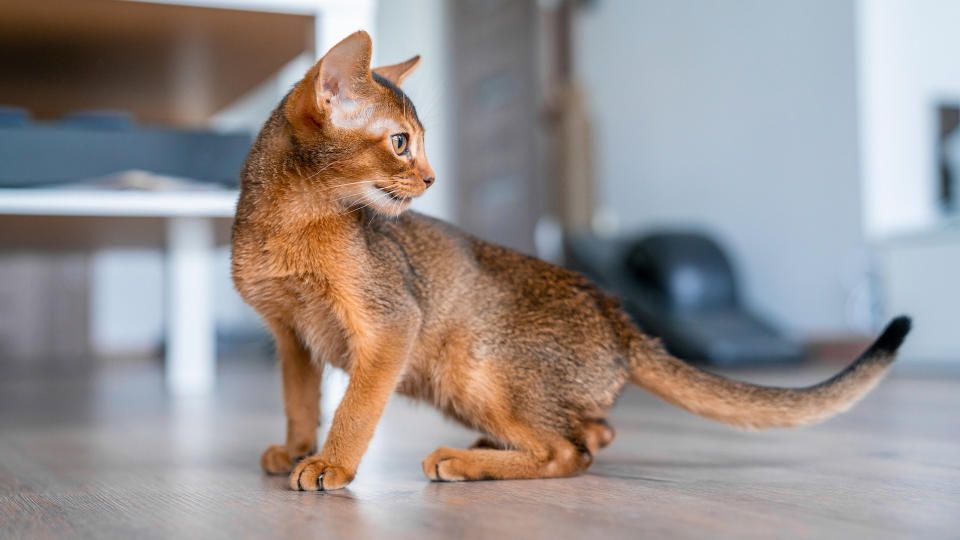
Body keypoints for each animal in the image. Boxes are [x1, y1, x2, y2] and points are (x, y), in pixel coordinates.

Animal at [231, 30, 908, 494]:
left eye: (418, 146)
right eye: (400, 143)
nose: (429, 178)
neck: (286, 223)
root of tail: (620, 320)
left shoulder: (392, 321)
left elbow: (355, 408)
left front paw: (331, 463)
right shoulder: (291, 335)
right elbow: (300, 400)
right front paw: (296, 449)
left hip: (474, 367)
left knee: (569, 453)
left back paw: (464, 460)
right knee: (592, 432)